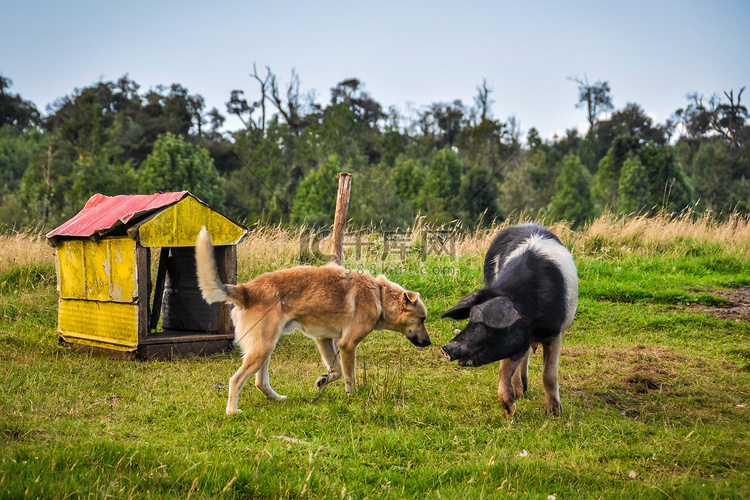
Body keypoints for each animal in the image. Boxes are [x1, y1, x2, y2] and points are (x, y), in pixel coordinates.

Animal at [197, 228, 432, 414]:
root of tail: (247, 290)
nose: (429, 343)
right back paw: (232, 411)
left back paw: (278, 399)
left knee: (260, 382)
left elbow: (336, 371)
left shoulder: (324, 339)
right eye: (422, 319)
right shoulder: (348, 345)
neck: (379, 295)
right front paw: (352, 395)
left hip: (266, 347)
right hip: (262, 348)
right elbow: (349, 376)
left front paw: (324, 380)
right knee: (235, 380)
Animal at [444, 225, 580, 416]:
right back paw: (520, 392)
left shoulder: (554, 332)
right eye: (470, 319)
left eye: (486, 325)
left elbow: (549, 373)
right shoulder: (513, 343)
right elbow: (505, 369)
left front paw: (555, 413)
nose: (446, 348)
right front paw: (510, 410)